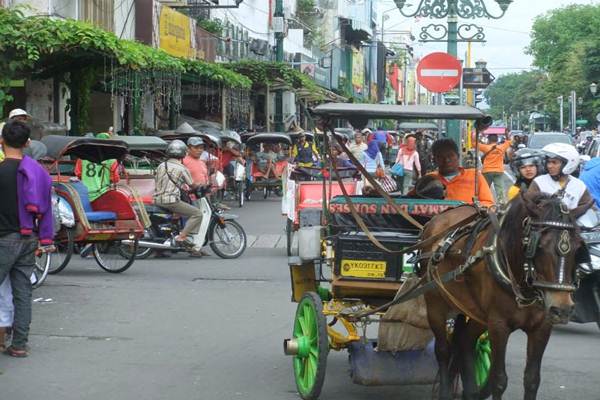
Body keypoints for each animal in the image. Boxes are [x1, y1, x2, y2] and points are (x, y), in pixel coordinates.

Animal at [420, 192, 584, 398]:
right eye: (539, 246)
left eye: (578, 247)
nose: (562, 309)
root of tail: (437, 220)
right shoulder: (498, 325)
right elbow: (499, 380)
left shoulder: (542, 327)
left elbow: (532, 380)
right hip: (436, 305)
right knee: (443, 350)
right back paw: (445, 391)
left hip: (473, 312)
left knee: (464, 341)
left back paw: (470, 392)